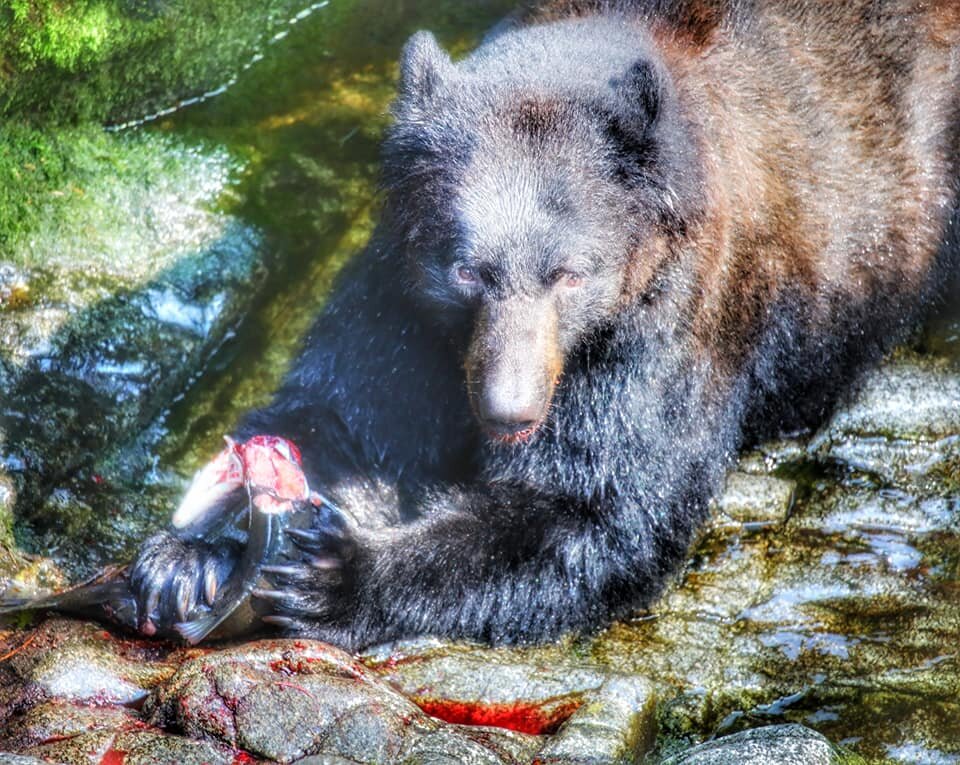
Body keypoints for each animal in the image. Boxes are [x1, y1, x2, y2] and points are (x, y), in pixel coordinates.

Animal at [129, 1, 960, 652]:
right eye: (467, 270)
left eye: (571, 272)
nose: (509, 409)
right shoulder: (403, 293)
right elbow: (348, 409)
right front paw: (190, 555)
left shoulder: (665, 318)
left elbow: (597, 507)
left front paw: (338, 573)